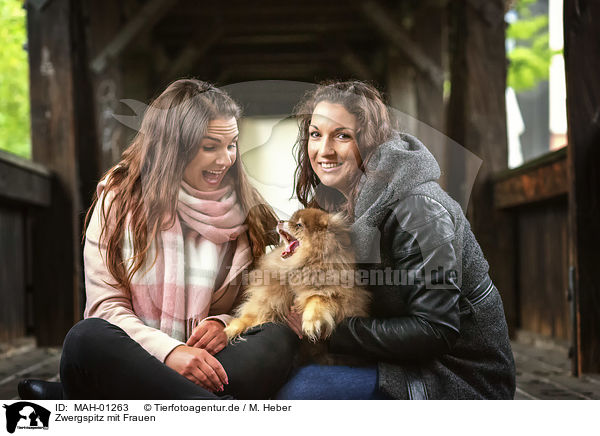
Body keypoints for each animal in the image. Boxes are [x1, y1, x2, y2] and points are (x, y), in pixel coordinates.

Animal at [223, 209, 368, 348]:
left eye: (299, 225)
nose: (280, 221)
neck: (301, 266)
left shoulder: (343, 298)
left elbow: (317, 298)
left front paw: (311, 323)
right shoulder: (271, 301)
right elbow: (250, 316)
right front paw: (230, 329)